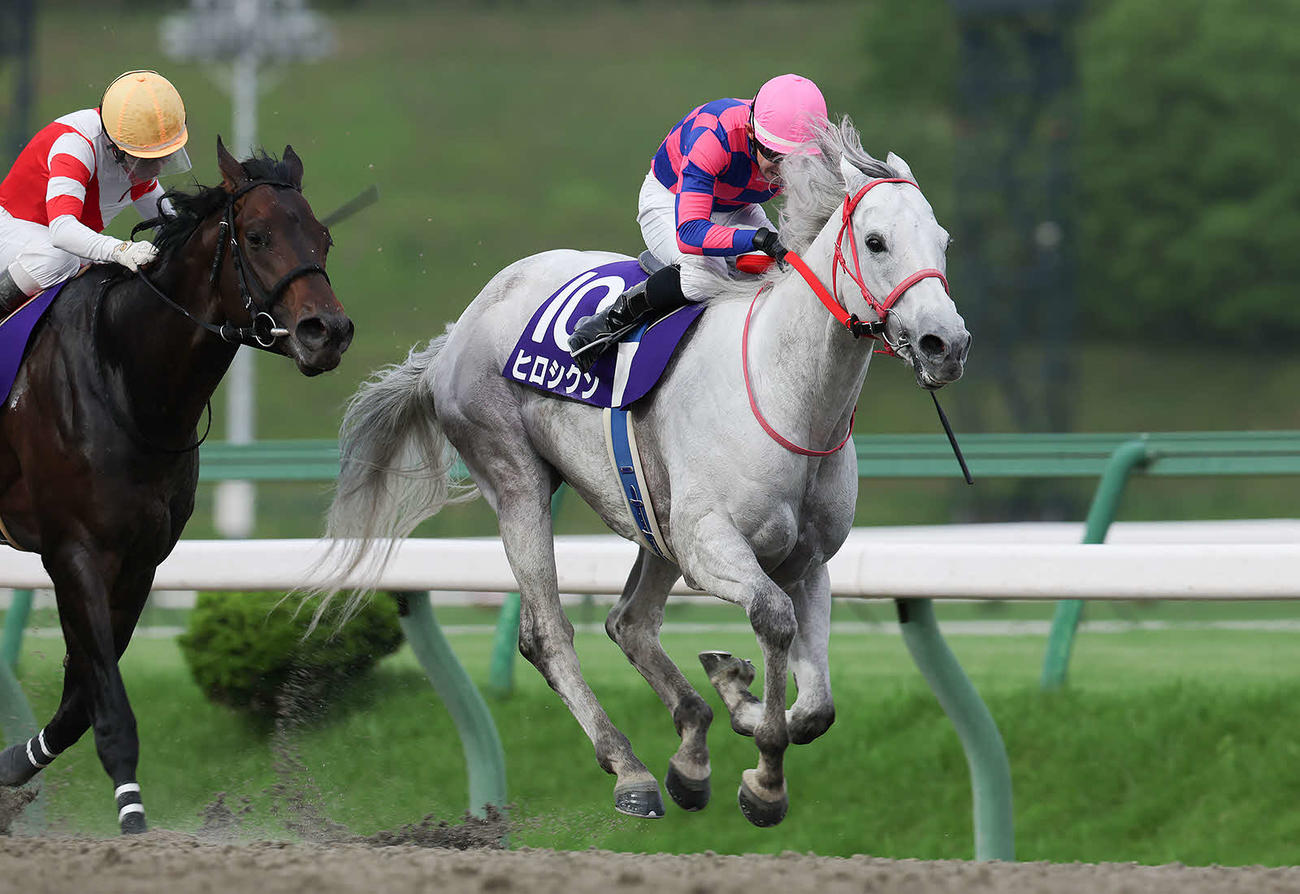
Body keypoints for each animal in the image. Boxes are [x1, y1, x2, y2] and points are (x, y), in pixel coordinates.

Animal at [0, 138, 353, 833]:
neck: (126, 378)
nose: (326, 332)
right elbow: (106, 699)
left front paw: (11, 767)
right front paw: (133, 816)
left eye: (323, 237)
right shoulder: (73, 552)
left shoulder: (140, 562)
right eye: (257, 235)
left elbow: (81, 700)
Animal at [321, 118, 968, 827]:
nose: (946, 344)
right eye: (876, 242)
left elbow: (816, 708)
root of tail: (455, 334)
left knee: (628, 621)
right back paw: (629, 768)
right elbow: (772, 623)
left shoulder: (809, 562)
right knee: (548, 634)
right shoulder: (709, 544)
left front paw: (738, 695)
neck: (787, 392)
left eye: (942, 240)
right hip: (517, 477)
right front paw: (764, 779)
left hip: (649, 511)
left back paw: (691, 750)